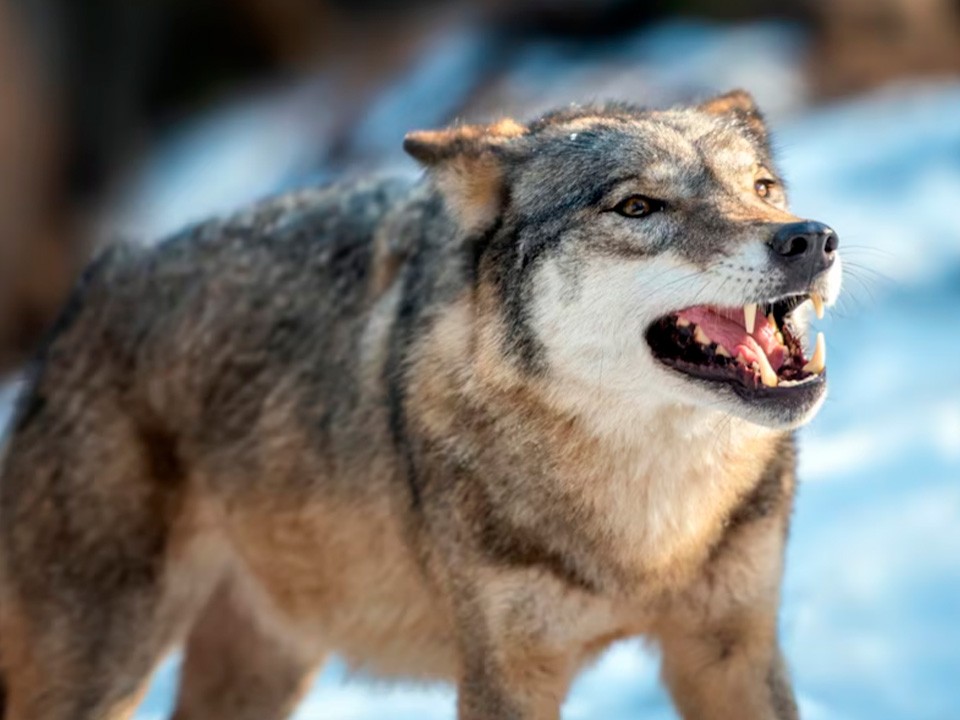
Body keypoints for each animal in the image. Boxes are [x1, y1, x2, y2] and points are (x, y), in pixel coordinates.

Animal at [0, 91, 836, 720]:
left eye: (762, 188)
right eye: (637, 206)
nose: (812, 238)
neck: (648, 535)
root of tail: (93, 286)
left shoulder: (733, 651)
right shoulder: (505, 676)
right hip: (105, 669)